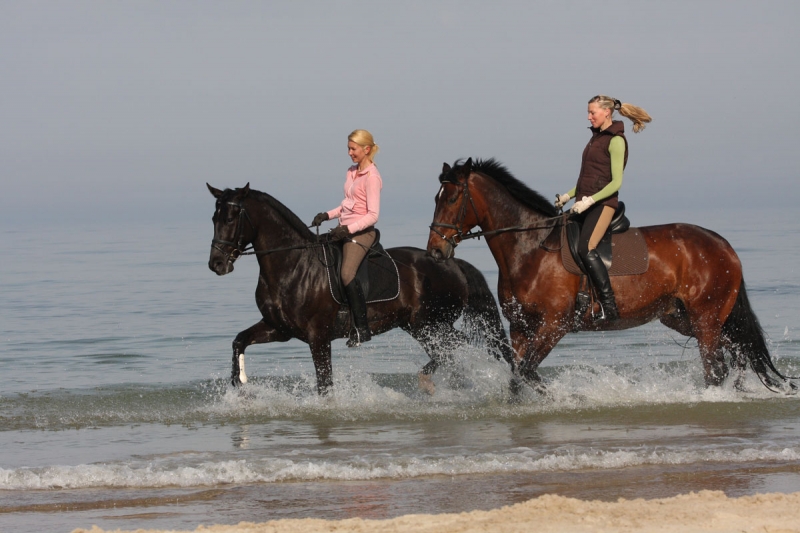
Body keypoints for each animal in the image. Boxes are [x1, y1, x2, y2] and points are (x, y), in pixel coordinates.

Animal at [206, 183, 512, 394]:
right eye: (213, 219)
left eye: (231, 219)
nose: (216, 264)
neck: (293, 264)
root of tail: (452, 262)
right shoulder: (279, 329)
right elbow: (238, 341)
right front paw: (239, 383)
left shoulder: (318, 337)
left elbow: (325, 384)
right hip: (420, 327)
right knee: (450, 353)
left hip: (432, 324)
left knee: (457, 347)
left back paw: (431, 381)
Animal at [428, 156, 792, 392]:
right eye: (436, 197)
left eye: (453, 197)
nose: (435, 251)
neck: (530, 248)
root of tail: (722, 244)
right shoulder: (520, 327)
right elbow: (517, 377)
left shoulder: (554, 325)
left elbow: (528, 373)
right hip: (685, 317)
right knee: (737, 354)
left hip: (706, 319)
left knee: (717, 367)